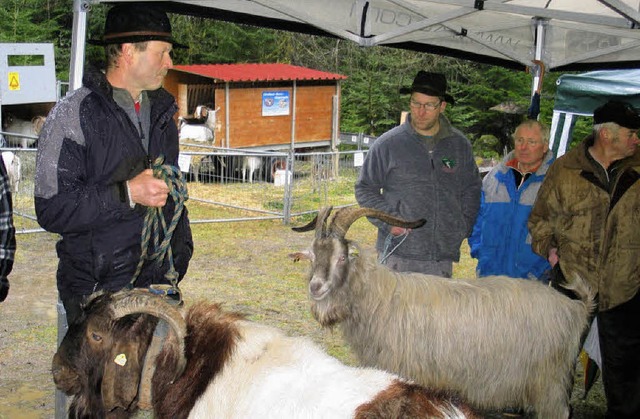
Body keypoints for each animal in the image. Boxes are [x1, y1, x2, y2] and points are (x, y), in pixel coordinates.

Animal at [292, 207, 596, 419]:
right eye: (313, 256)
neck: (378, 298)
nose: (315, 287)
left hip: (550, 382)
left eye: (342, 257)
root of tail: (576, 308)